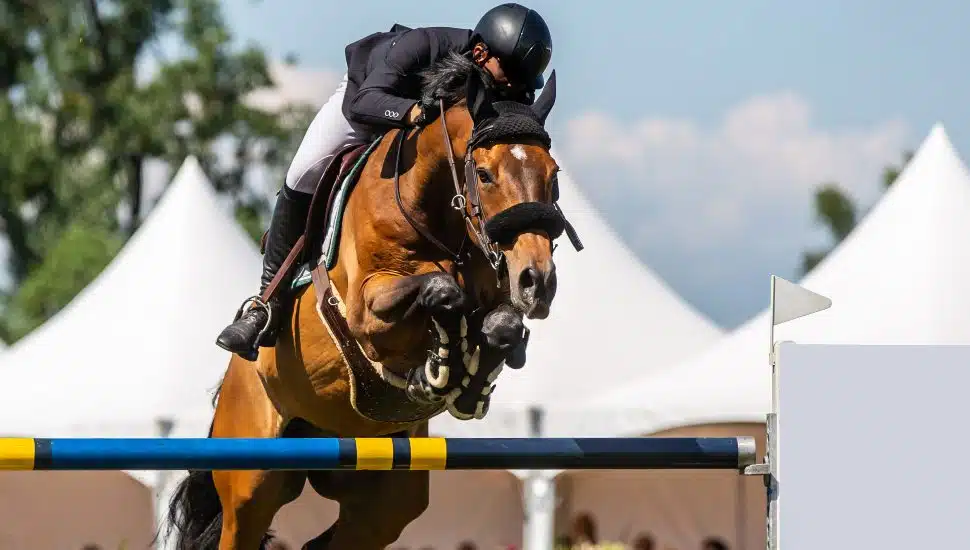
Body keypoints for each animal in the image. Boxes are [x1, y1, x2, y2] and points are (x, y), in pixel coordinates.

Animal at [165, 52, 581, 550]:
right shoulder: (366, 311)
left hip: (385, 501)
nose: (536, 281)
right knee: (244, 520)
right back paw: (252, 325)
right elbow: (440, 291)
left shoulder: (497, 293)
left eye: (553, 177)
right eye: (483, 175)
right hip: (252, 483)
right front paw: (440, 367)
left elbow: (503, 325)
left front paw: (470, 381)